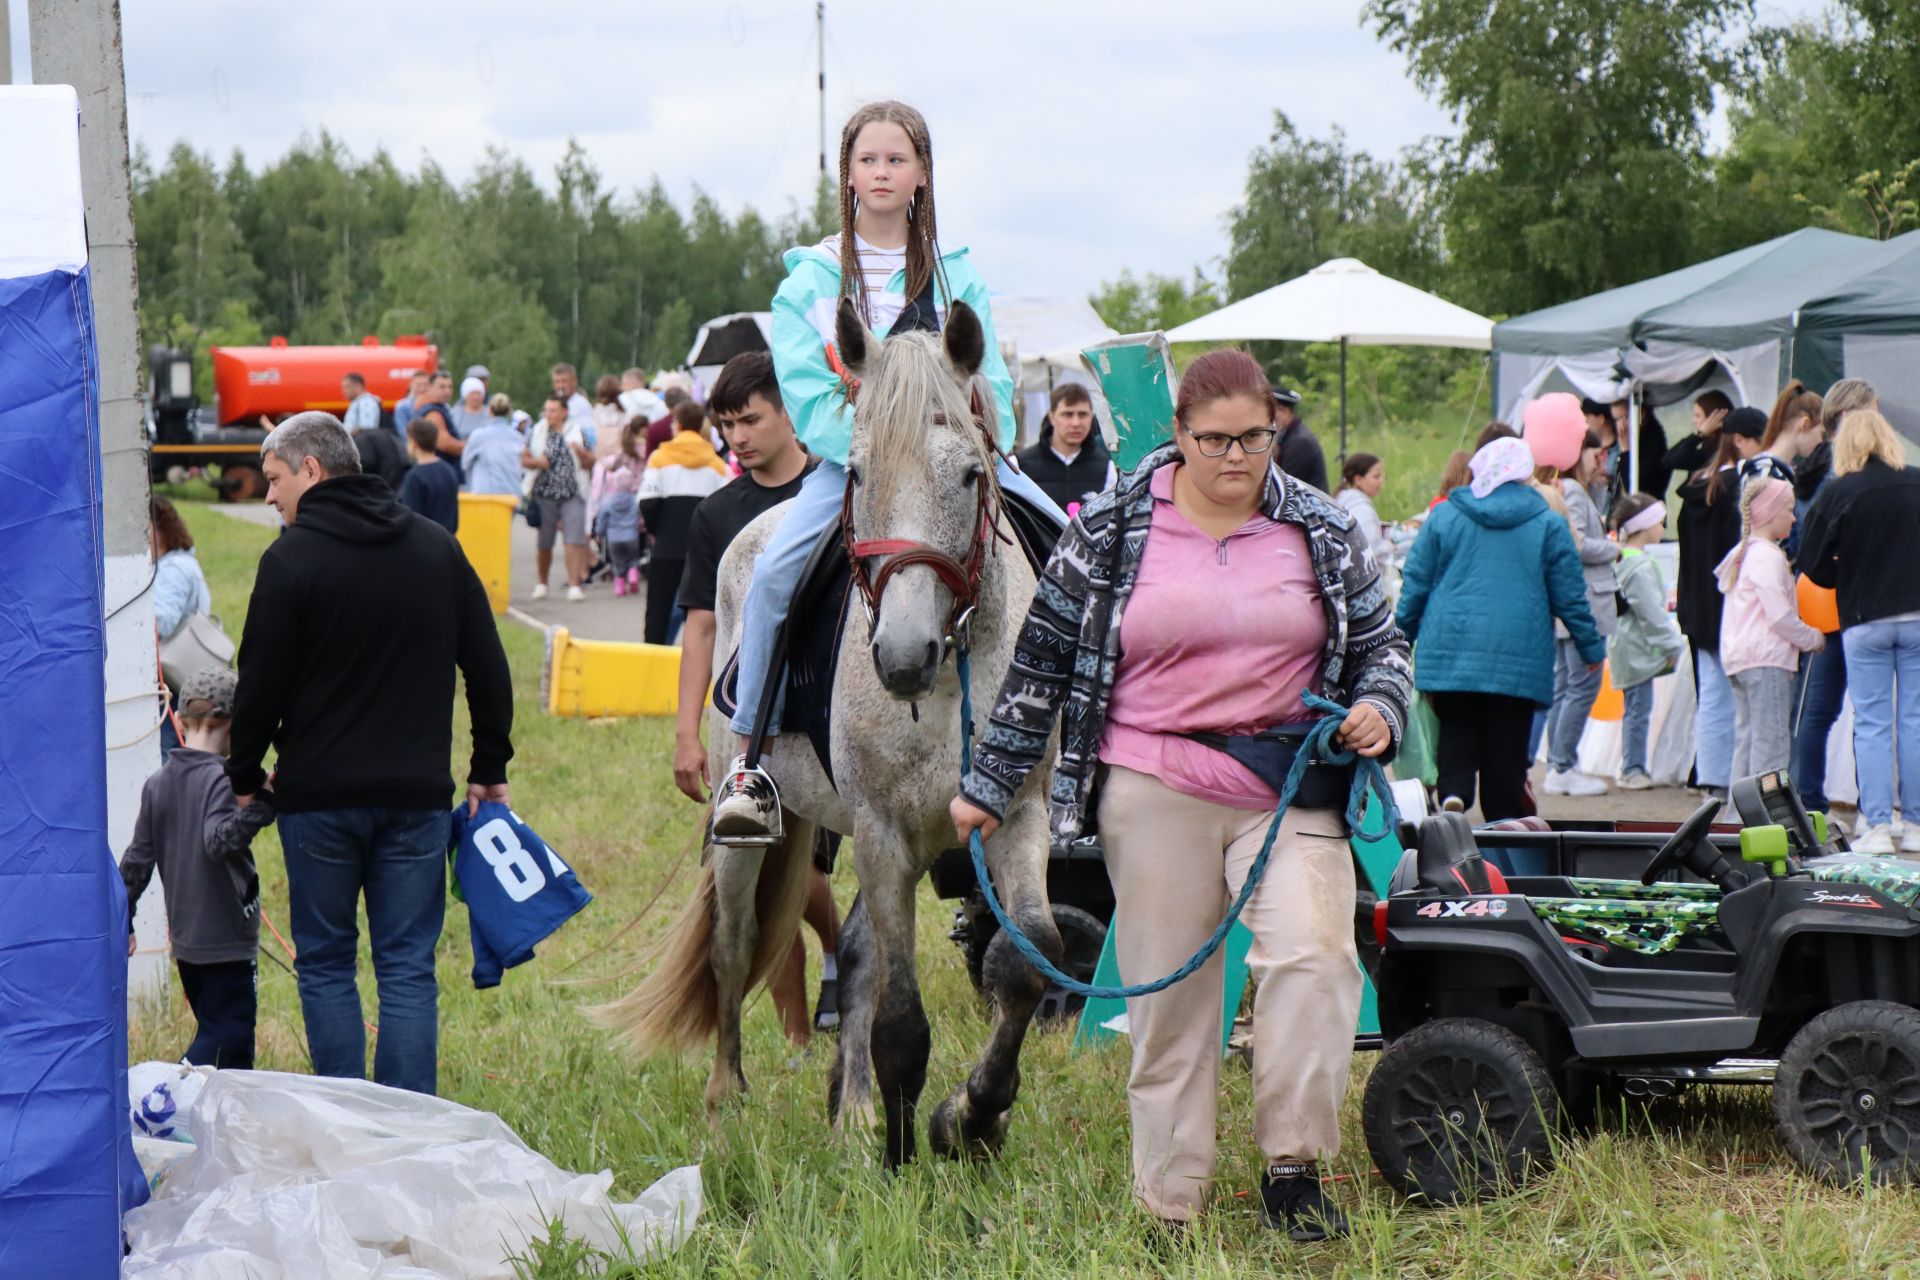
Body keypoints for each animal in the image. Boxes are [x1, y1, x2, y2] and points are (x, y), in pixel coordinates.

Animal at [595, 301, 1067, 1174]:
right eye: (856, 474)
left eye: (970, 474)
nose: (904, 656)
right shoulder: (884, 833)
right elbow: (902, 1018)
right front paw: (904, 1160)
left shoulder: (1012, 819)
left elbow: (1023, 963)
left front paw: (969, 1119)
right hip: (751, 836)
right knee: (733, 949)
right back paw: (727, 1111)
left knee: (852, 956)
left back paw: (851, 1117)